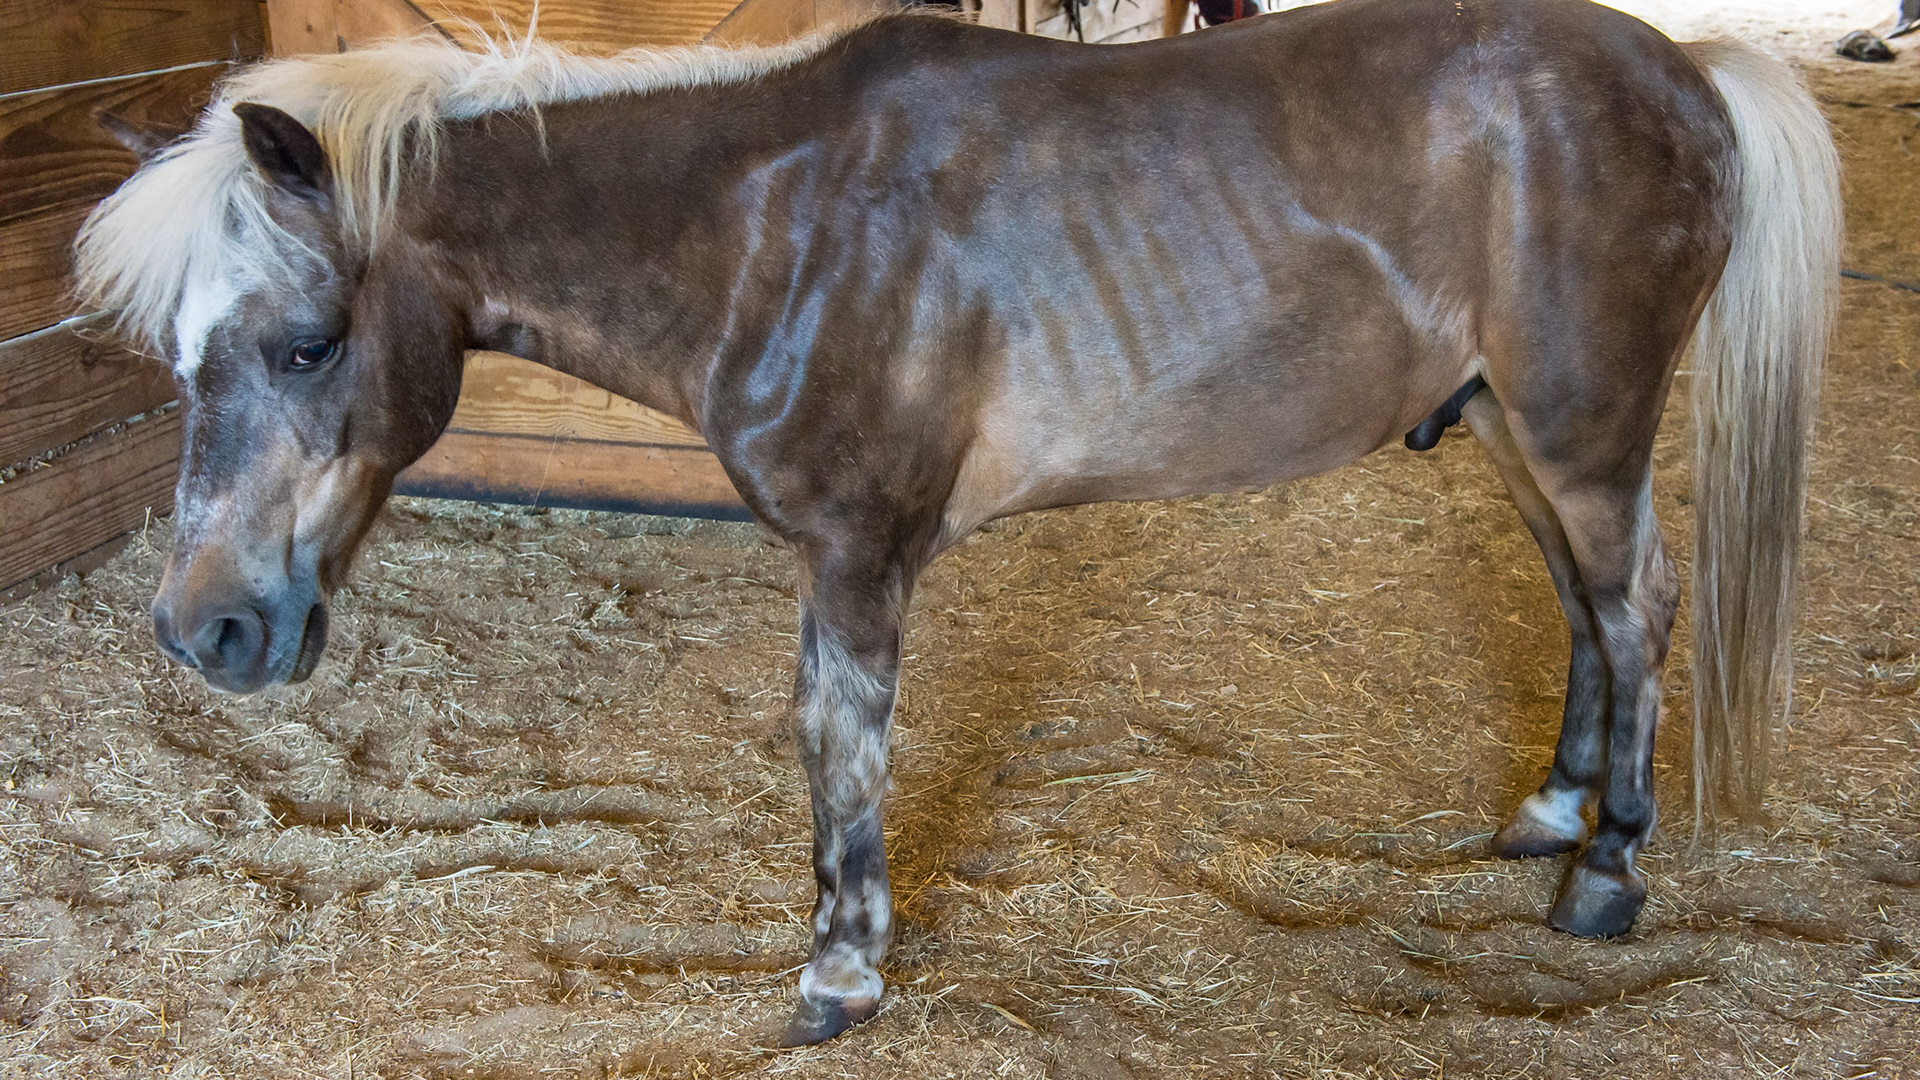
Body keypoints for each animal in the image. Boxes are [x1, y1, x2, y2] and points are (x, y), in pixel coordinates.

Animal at [74, 0, 1839, 1045]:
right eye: (176, 352)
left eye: (309, 345)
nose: (208, 630)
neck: (769, 225)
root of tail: (1689, 70)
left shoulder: (858, 551)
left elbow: (841, 744)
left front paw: (840, 968)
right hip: (1513, 431)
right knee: (1585, 606)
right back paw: (1551, 811)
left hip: (1583, 430)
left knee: (1638, 604)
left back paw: (1607, 871)